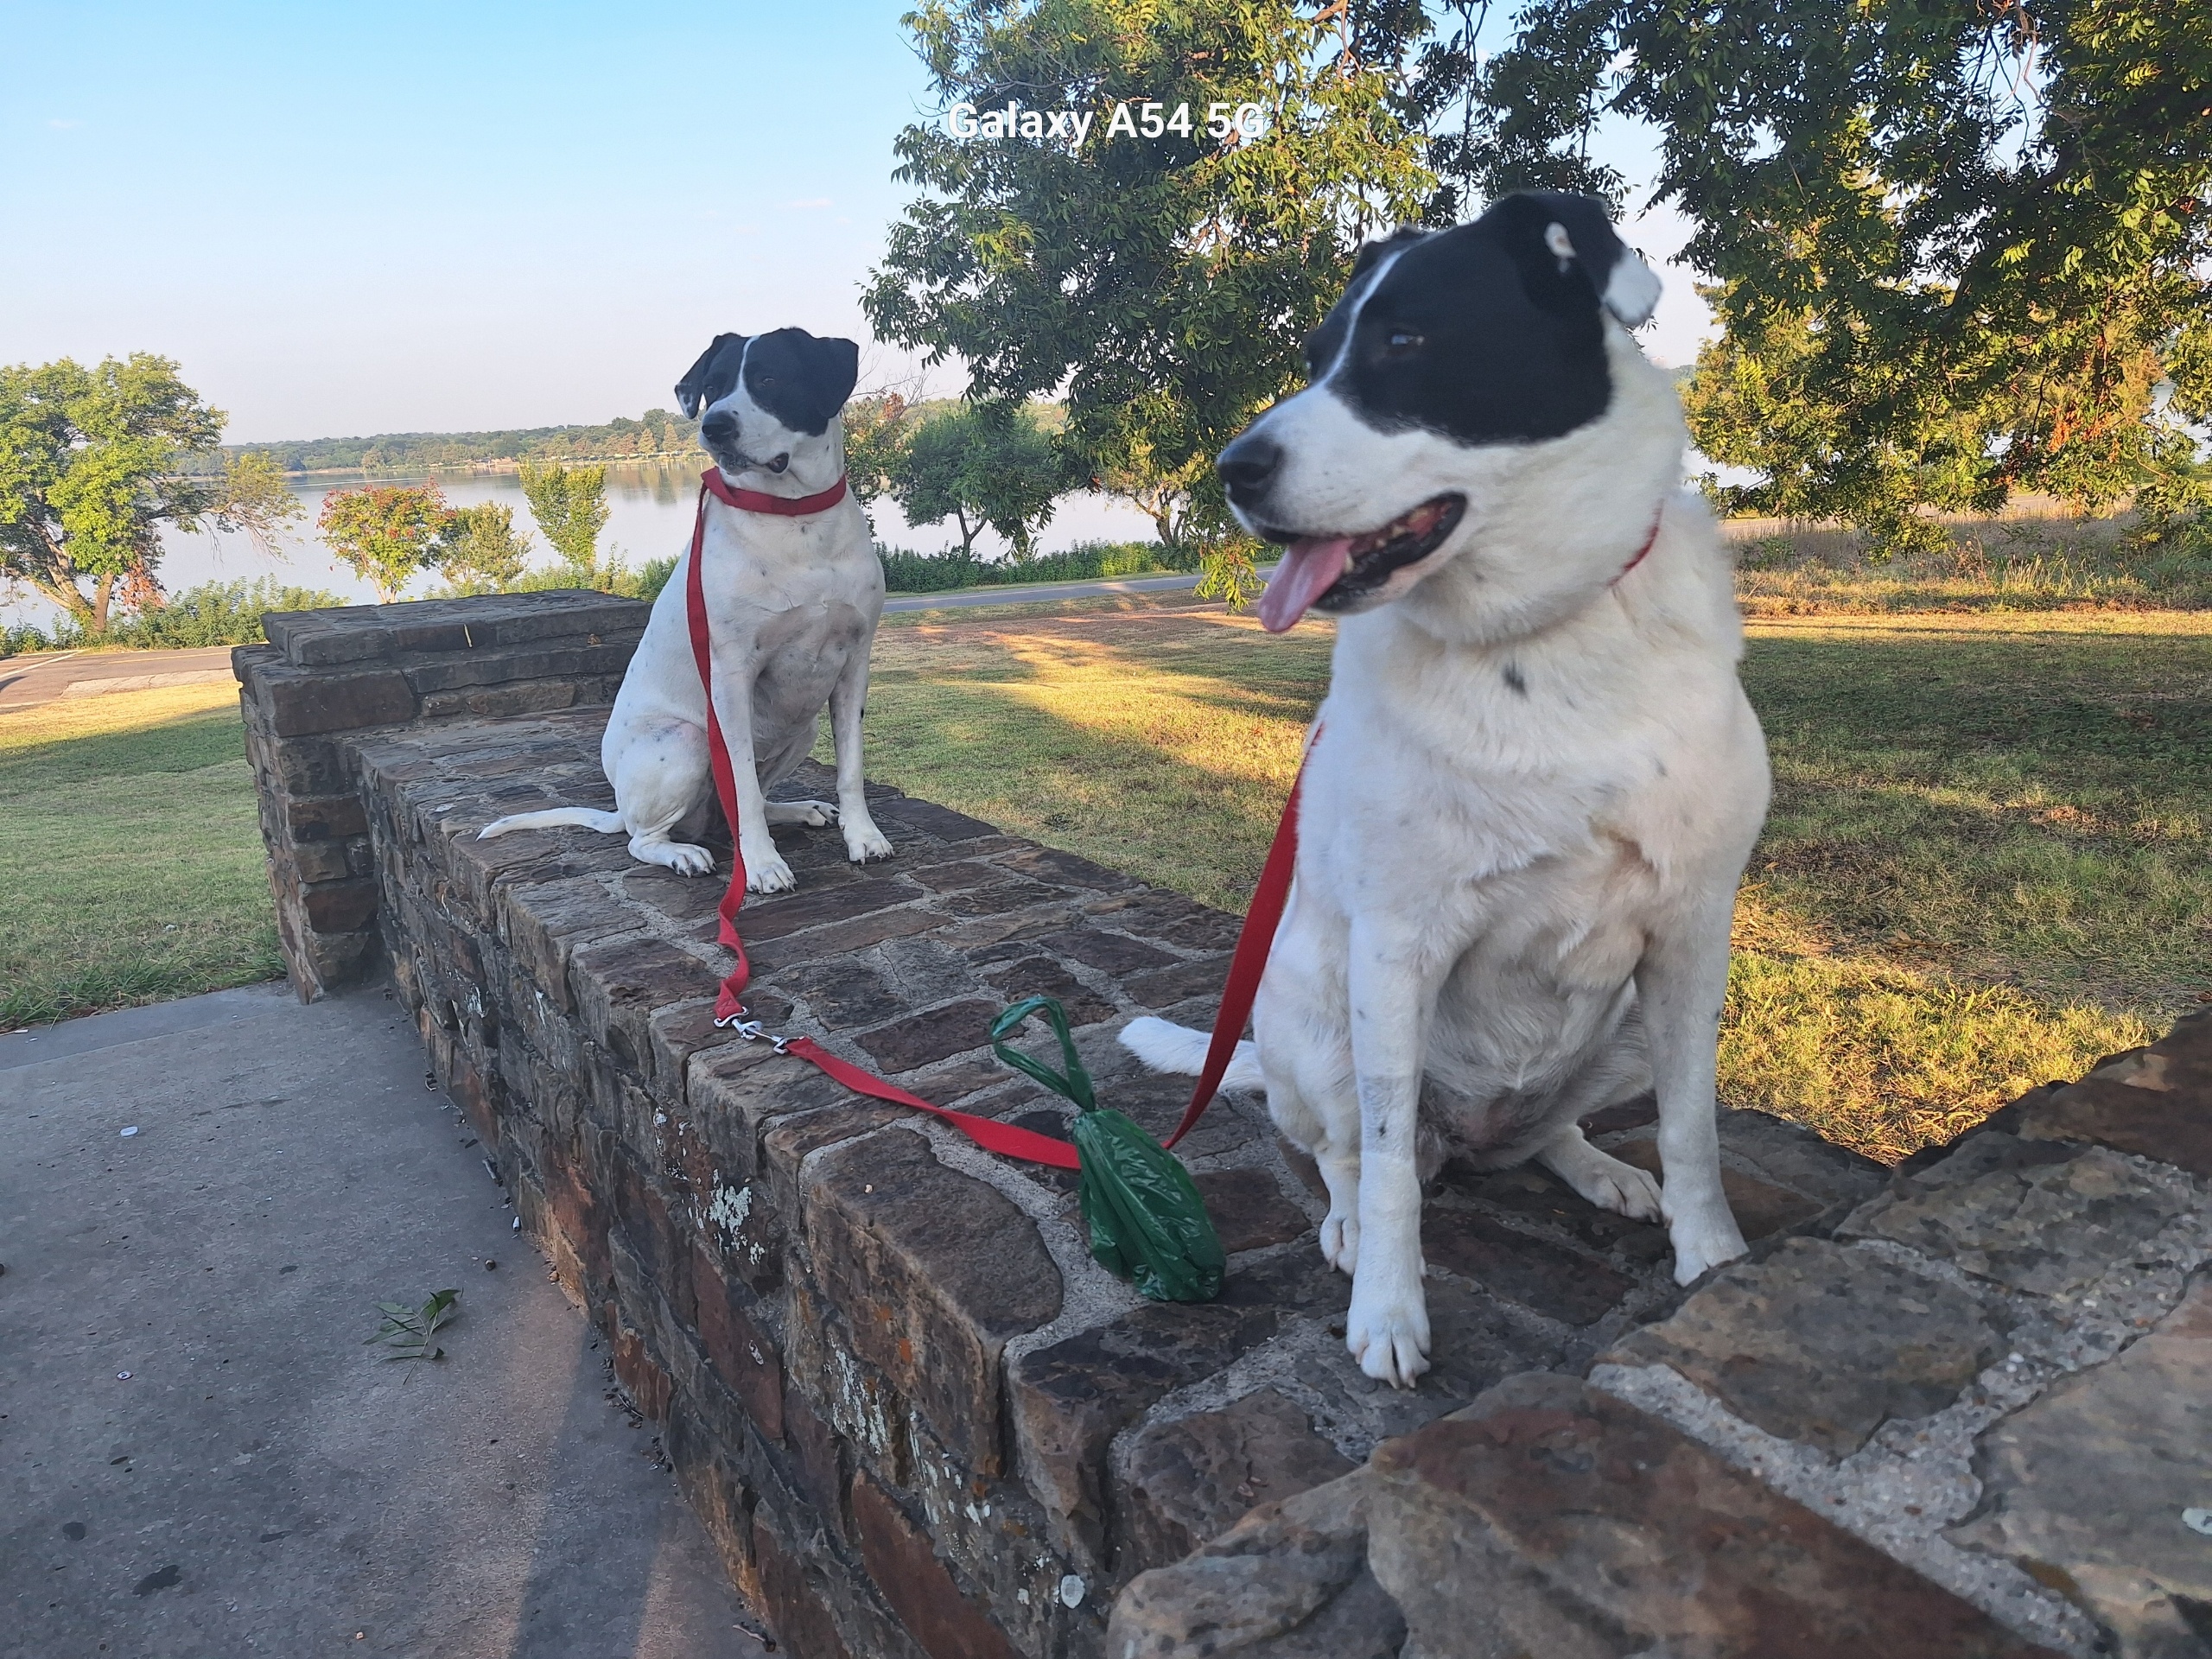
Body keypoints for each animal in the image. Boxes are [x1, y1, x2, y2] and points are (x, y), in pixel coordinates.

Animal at [480, 327, 893, 898]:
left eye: (768, 378)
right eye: (712, 387)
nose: (714, 425)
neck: (794, 518)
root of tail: (620, 806)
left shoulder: (853, 665)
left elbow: (849, 768)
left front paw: (863, 837)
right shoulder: (732, 677)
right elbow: (741, 783)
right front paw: (761, 865)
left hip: (802, 727)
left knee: (744, 805)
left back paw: (796, 810)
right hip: (686, 742)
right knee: (647, 838)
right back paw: (683, 853)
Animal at [1115, 191, 1770, 1389]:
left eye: (1406, 343)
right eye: (1315, 358)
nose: (1233, 468)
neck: (1532, 642)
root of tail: (1469, 1133)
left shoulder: (1693, 934)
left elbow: (1694, 1128)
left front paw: (1713, 1259)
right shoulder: (1396, 949)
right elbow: (1382, 1172)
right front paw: (1388, 1310)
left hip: (1618, 1033)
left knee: (1541, 1136)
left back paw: (1596, 1167)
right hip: (1318, 1016)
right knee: (1350, 1155)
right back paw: (1345, 1222)